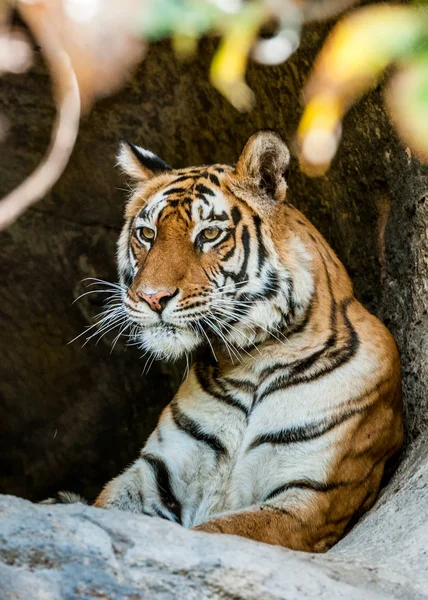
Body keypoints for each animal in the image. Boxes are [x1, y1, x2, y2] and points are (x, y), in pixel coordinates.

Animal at [64, 129, 404, 552]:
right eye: (146, 234)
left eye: (209, 234)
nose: (151, 297)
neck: (252, 361)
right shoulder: (152, 477)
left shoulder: (309, 499)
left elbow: (216, 532)